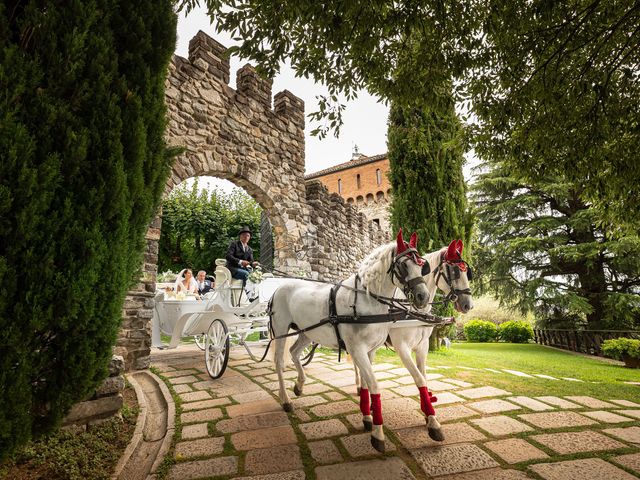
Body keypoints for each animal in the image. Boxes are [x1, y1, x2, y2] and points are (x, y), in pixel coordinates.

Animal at [270, 231, 430, 452]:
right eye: (404, 265)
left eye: (421, 264)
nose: (423, 296)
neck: (367, 301)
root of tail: (279, 287)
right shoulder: (357, 350)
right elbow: (374, 385)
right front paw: (378, 434)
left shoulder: (370, 351)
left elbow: (365, 384)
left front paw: (367, 418)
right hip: (280, 330)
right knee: (279, 361)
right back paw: (285, 399)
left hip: (307, 332)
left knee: (294, 352)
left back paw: (300, 385)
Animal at [352, 240, 472, 442]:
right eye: (454, 271)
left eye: (467, 272)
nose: (468, 304)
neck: (414, 310)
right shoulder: (403, 348)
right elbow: (419, 379)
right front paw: (433, 422)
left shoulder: (422, 347)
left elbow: (424, 377)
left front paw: (428, 412)